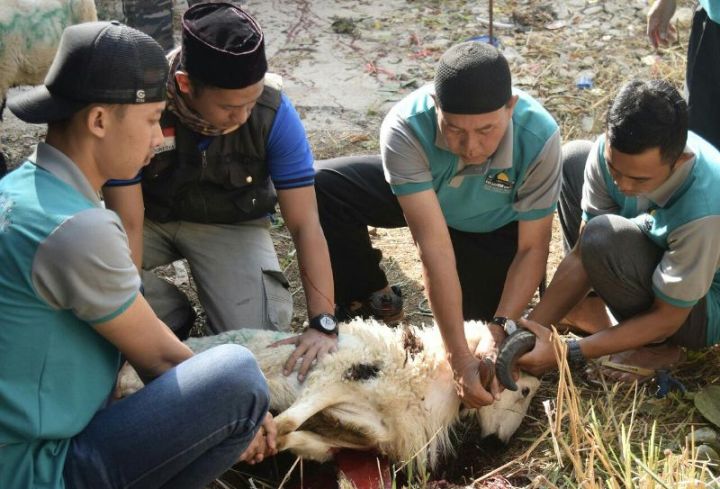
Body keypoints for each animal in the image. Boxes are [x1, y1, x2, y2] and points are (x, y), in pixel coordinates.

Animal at [118, 316, 536, 468]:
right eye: (525, 390)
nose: (497, 446)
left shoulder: (369, 433)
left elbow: (296, 437)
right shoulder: (333, 376)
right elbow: (287, 422)